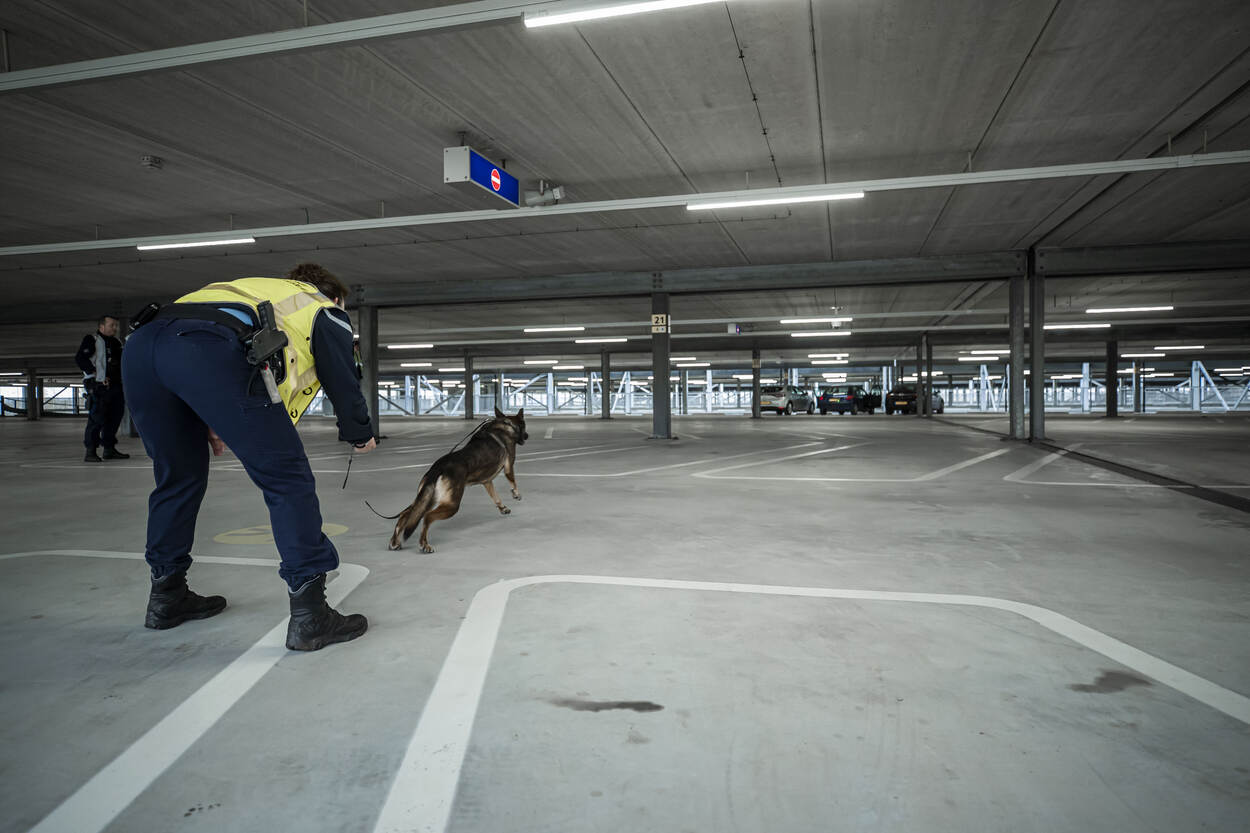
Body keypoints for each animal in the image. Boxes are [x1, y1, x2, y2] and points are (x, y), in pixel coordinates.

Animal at [384, 407, 528, 553]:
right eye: (524, 426)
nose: (527, 436)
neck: (504, 424)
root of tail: (437, 468)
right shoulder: (509, 466)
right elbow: (512, 481)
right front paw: (516, 494)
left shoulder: (486, 481)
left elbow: (495, 496)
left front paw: (503, 507)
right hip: (451, 505)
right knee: (427, 517)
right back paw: (424, 544)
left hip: (428, 499)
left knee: (405, 514)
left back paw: (395, 542)